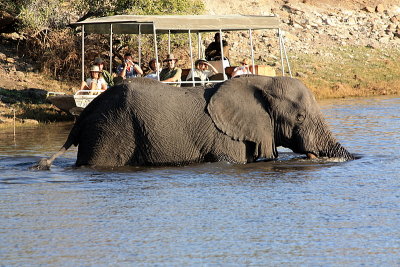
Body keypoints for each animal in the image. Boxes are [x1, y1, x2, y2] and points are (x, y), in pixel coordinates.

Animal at [34, 75, 354, 170]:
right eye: (299, 117)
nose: (312, 155)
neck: (261, 80)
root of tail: (87, 111)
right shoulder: (225, 138)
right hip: (109, 131)